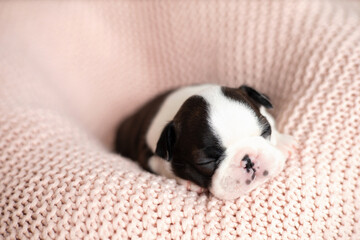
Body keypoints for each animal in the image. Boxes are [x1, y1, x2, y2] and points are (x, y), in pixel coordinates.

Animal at [115, 83, 296, 200]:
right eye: (205, 162)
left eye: (266, 131)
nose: (249, 160)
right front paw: (189, 182)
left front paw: (282, 141)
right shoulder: (148, 156)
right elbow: (163, 166)